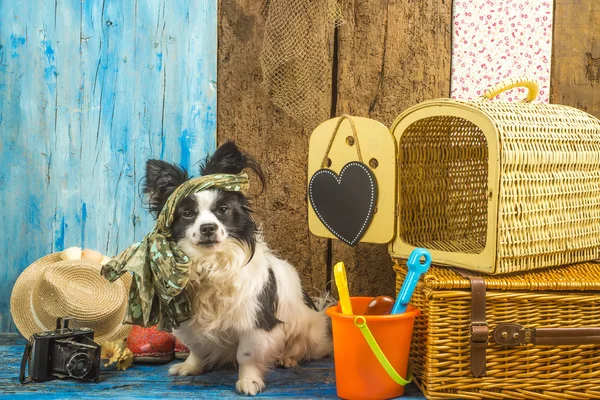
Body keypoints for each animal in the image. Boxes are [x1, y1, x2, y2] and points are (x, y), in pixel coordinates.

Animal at [144, 141, 336, 394]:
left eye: (222, 210)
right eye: (187, 214)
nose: (207, 228)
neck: (210, 263)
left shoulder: (254, 322)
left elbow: (247, 355)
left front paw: (249, 381)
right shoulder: (190, 323)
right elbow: (196, 348)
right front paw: (191, 367)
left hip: (307, 331)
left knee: (302, 348)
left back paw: (287, 358)